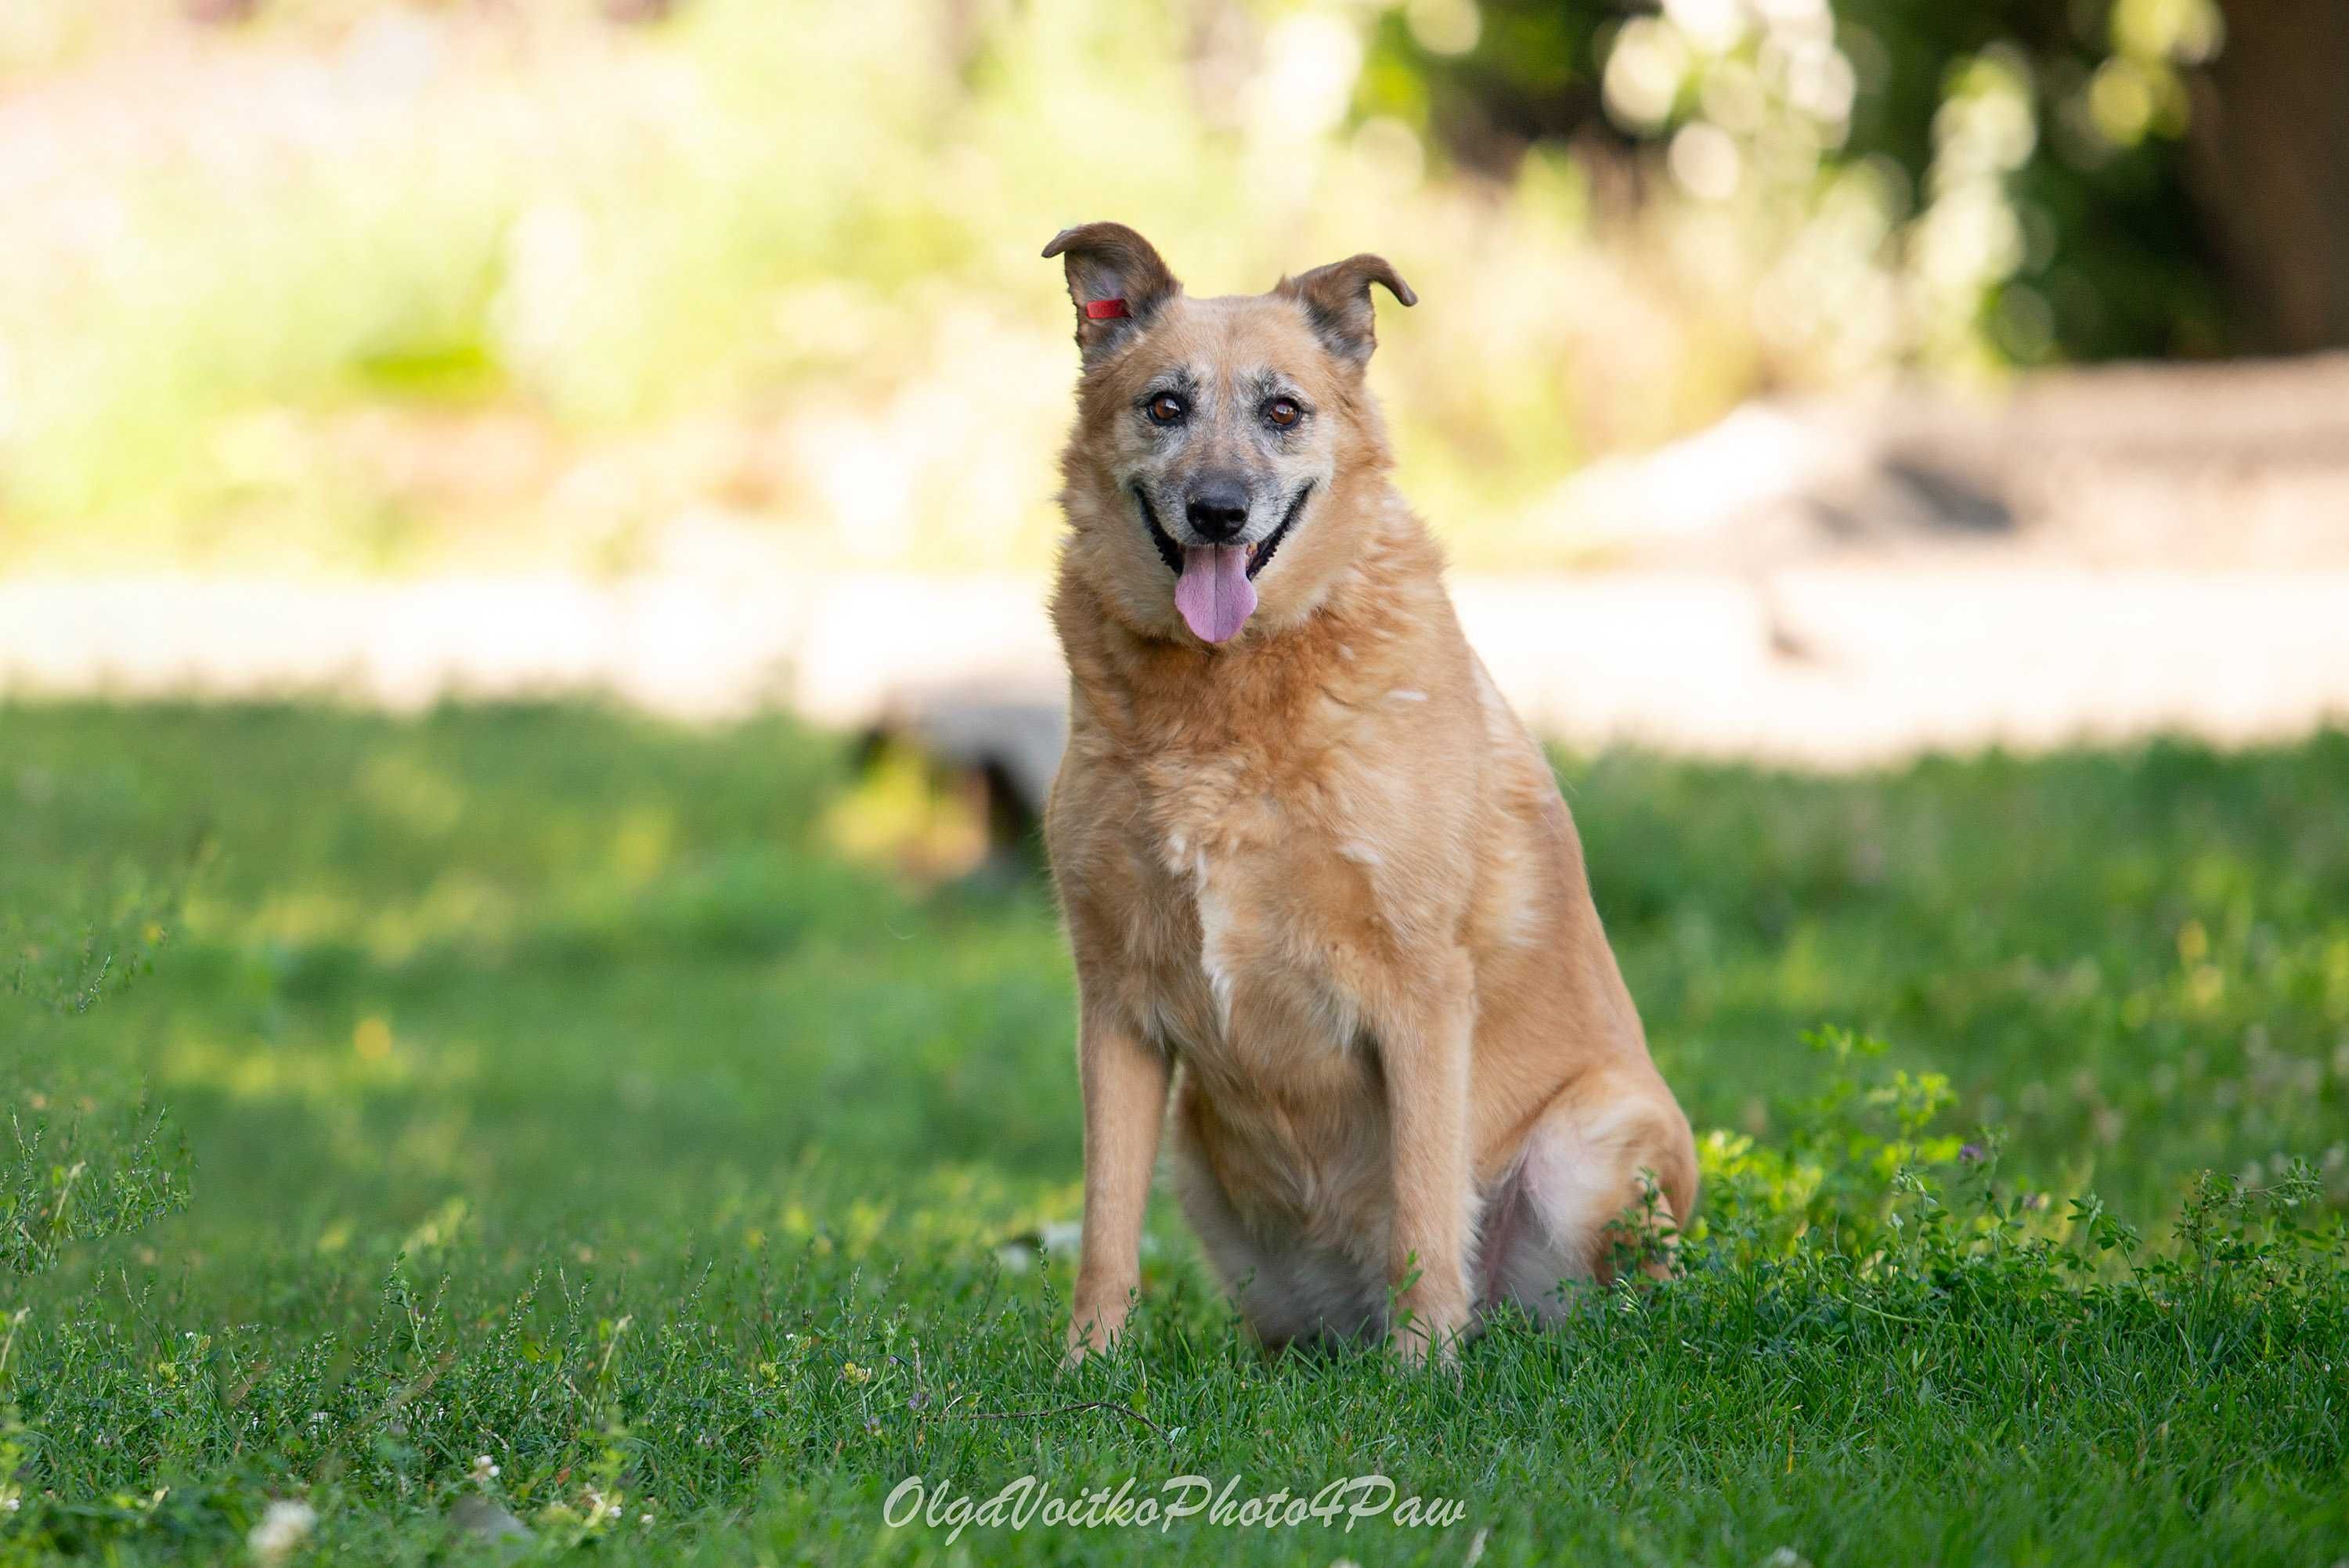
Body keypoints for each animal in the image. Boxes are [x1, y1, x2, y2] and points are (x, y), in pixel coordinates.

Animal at [1043, 226, 1691, 1361]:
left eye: (1283, 410)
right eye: (1164, 405)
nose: (1219, 511)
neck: (1226, 706)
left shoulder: (1421, 992)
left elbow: (1426, 1208)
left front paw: (1425, 1367)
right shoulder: (1116, 1003)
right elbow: (1105, 1225)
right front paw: (1091, 1364)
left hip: (1589, 1144)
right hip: (1198, 1161)